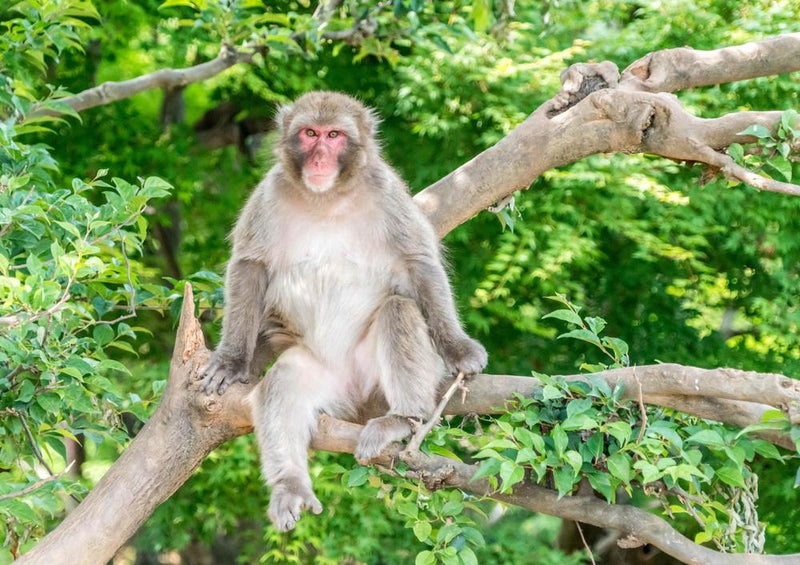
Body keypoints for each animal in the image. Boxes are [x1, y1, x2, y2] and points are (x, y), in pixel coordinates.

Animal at [200, 90, 488, 532]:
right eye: (310, 133)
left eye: (334, 135)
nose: (319, 158)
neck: (327, 199)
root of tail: (355, 396)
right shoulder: (268, 195)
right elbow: (250, 266)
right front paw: (231, 360)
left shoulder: (387, 192)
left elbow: (417, 261)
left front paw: (458, 348)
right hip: (327, 378)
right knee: (284, 381)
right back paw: (290, 484)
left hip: (373, 379)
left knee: (399, 310)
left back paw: (402, 418)